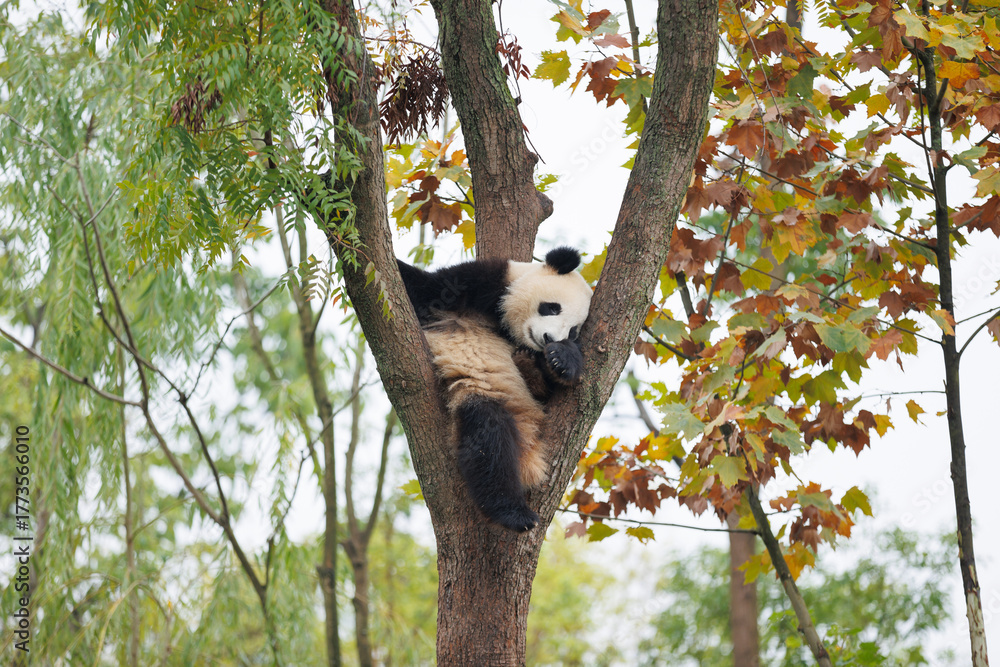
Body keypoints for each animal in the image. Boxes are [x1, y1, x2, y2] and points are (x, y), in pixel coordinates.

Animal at [397, 247, 593, 532]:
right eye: (552, 308)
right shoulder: (477, 283)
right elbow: (421, 287)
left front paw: (561, 359)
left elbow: (555, 387)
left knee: (488, 447)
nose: (548, 339)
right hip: (478, 392)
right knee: (488, 434)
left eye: (573, 331)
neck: (505, 325)